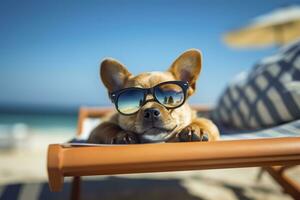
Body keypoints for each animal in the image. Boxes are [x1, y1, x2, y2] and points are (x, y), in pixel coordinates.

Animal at [88, 49, 219, 145]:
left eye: (169, 94)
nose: (150, 111)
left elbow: (204, 121)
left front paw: (196, 128)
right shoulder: (96, 131)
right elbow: (107, 127)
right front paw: (122, 134)